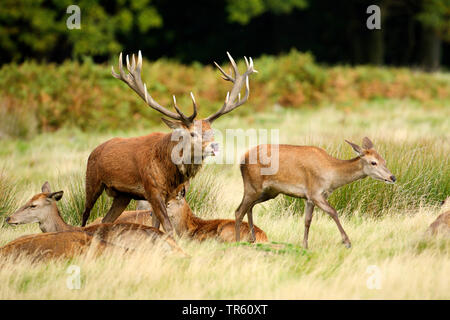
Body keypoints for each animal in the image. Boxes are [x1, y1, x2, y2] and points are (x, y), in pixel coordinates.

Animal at [81, 50, 256, 235]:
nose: (214, 146)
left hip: (123, 195)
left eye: (212, 132)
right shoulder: (152, 190)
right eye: (192, 133)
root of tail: (95, 150)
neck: (169, 172)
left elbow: (158, 225)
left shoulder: (171, 194)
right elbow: (168, 227)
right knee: (85, 215)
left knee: (107, 219)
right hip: (92, 180)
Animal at [234, 137, 396, 248]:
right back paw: (237, 241)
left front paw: (305, 245)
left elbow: (307, 221)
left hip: (269, 192)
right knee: (239, 211)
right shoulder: (315, 193)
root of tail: (242, 159)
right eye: (373, 162)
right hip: (252, 186)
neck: (332, 176)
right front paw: (347, 241)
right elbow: (333, 211)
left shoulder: (309, 198)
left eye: (384, 160)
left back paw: (253, 239)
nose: (392, 177)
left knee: (249, 208)